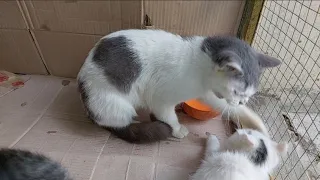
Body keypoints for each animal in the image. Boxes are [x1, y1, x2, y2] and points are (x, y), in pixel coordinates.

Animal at [77, 28, 280, 143]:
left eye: (248, 95)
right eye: (237, 92)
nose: (241, 102)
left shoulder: (208, 93)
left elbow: (226, 107)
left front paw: (257, 125)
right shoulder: (160, 98)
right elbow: (168, 116)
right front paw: (177, 129)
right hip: (114, 103)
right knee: (118, 123)